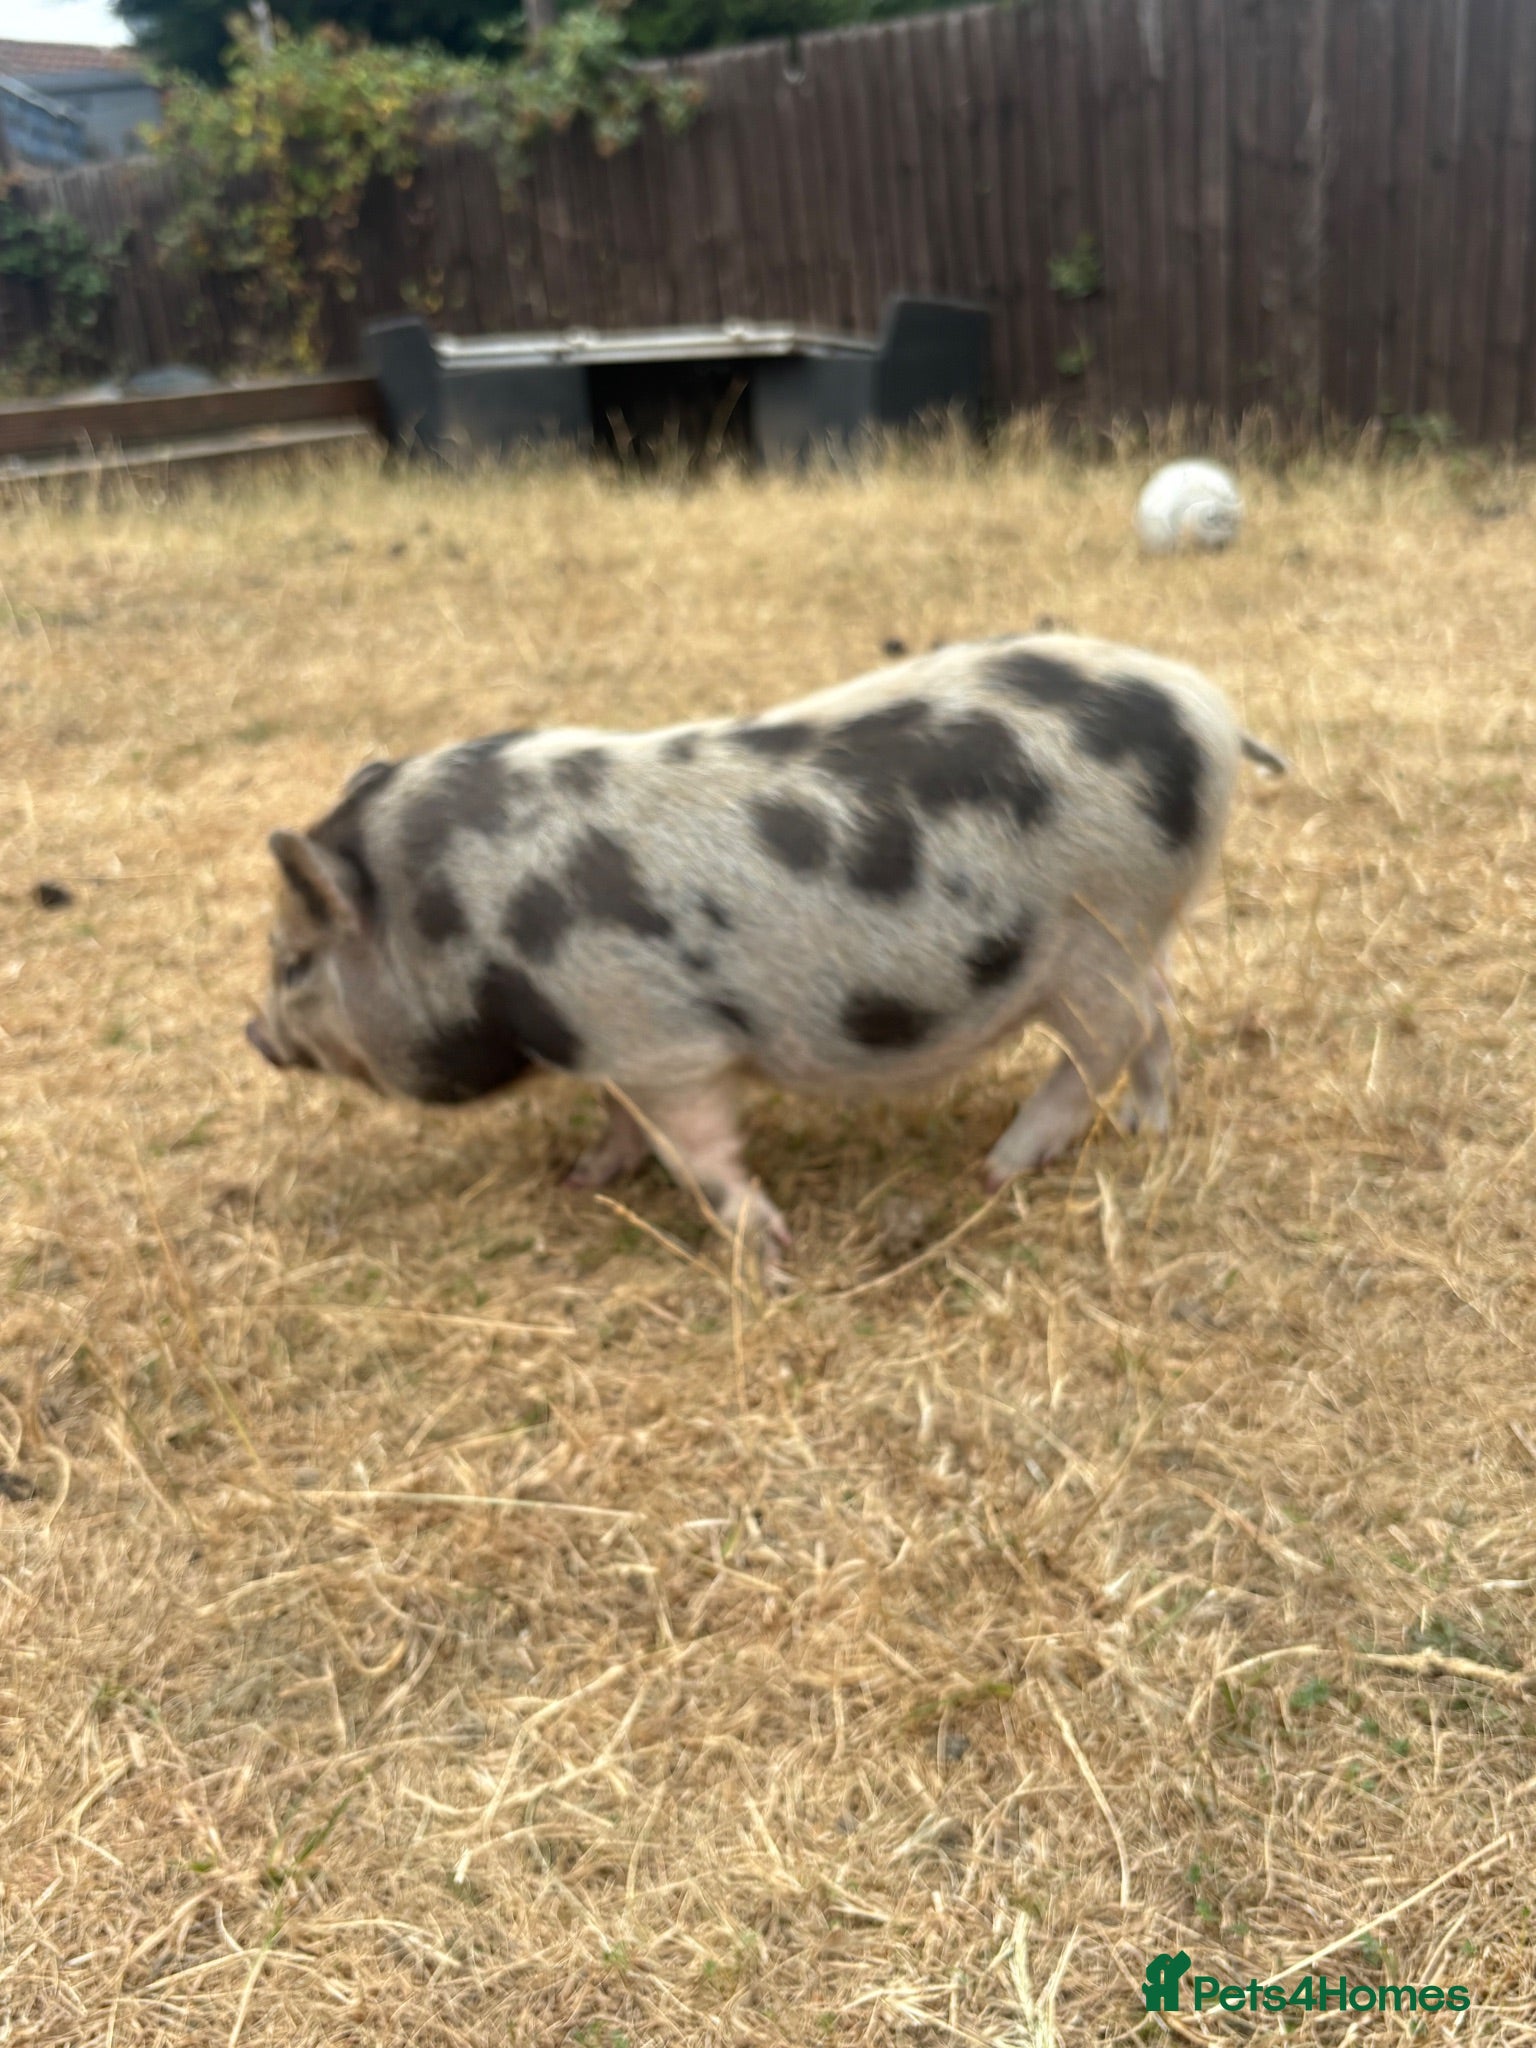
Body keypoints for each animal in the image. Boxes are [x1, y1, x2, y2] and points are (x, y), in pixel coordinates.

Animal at [246, 633, 1284, 1267]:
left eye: (293, 961)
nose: (255, 1034)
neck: (459, 919)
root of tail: (1206, 706)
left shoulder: (662, 1044)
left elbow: (700, 1152)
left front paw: (770, 1256)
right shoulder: (615, 1048)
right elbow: (621, 1122)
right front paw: (582, 1178)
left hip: (1095, 933)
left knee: (1115, 1032)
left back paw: (998, 1165)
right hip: (1138, 924)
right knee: (1161, 1013)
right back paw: (1148, 1130)